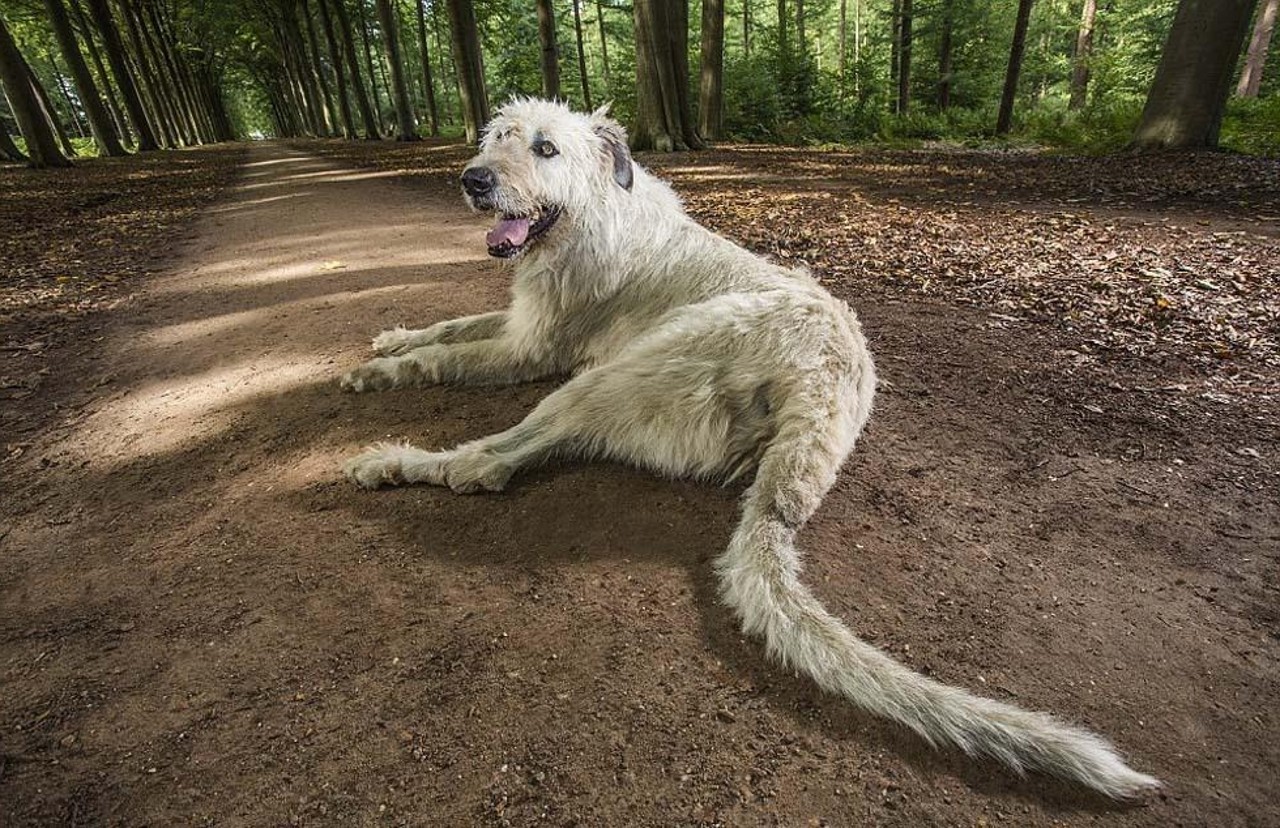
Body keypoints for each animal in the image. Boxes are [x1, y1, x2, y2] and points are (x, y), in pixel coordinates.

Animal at [340, 100, 1162, 798]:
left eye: (546, 148)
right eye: (498, 136)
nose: (473, 179)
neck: (596, 212)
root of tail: (821, 398)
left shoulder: (532, 349)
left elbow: (448, 357)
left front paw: (378, 371)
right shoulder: (519, 322)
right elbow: (453, 326)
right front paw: (393, 338)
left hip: (619, 371)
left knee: (488, 463)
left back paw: (391, 461)